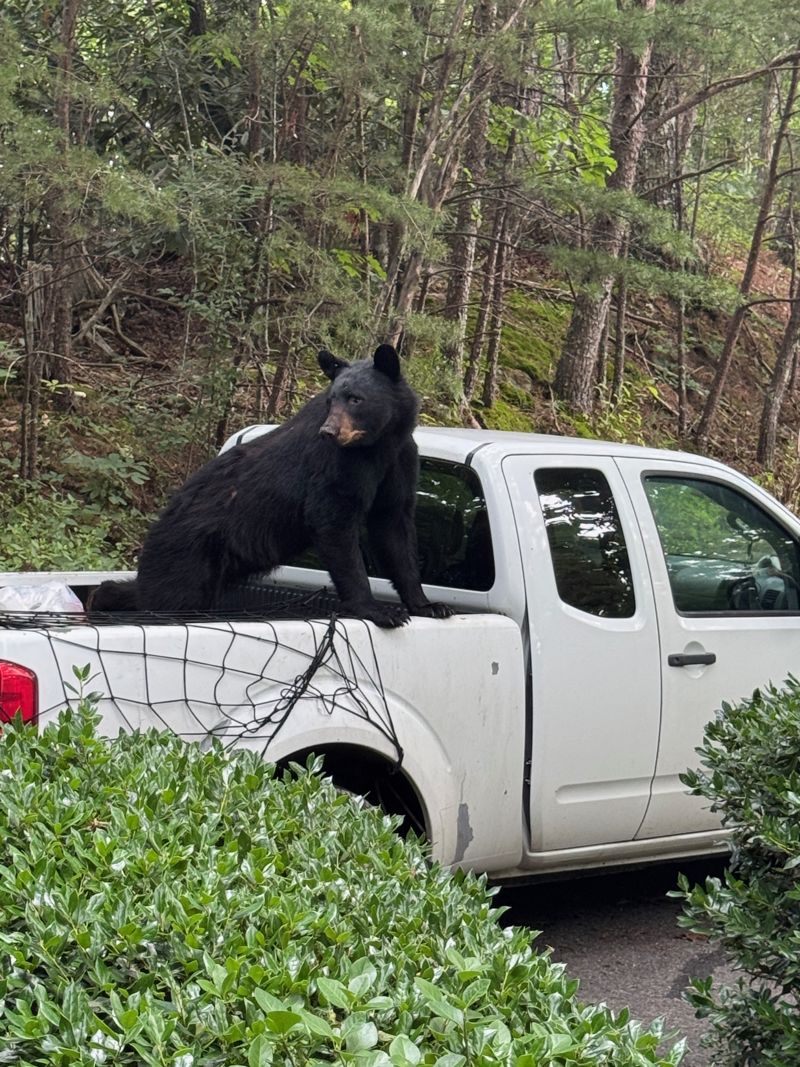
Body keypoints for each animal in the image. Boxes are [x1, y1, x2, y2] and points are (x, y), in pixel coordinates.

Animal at [91, 344, 453, 628]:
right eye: (331, 400)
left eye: (355, 399)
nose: (329, 432)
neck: (378, 443)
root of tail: (154, 529)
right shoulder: (338, 466)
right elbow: (334, 520)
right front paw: (377, 610)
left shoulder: (399, 461)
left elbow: (394, 527)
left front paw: (428, 605)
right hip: (188, 557)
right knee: (168, 600)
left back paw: (102, 596)